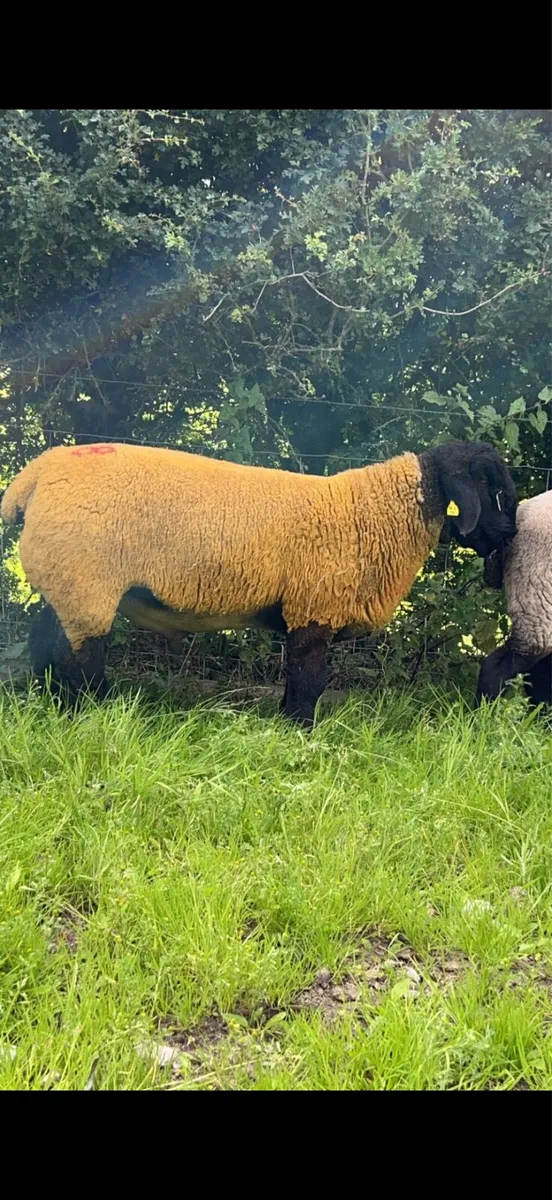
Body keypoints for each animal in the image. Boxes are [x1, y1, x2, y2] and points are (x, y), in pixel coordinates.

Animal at [1, 438, 517, 726]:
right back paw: (87, 713)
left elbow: (296, 682)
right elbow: (309, 683)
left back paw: (50, 703)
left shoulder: (301, 614)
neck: (371, 512)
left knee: (44, 642)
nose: (511, 533)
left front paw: (285, 725)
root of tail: (35, 476)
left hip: (64, 583)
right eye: (489, 486)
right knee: (78, 660)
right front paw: (301, 735)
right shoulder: (313, 610)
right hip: (87, 584)